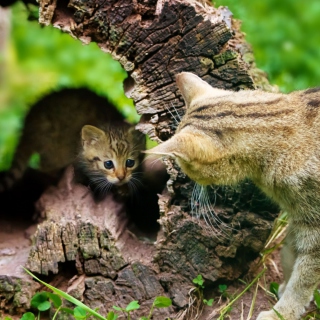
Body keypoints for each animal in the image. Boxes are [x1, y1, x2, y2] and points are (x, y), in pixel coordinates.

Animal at [146, 72, 320, 320]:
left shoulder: (313, 229)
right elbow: (289, 254)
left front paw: (282, 313)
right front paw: (284, 290)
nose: (183, 177)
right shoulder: (300, 218)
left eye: (186, 164)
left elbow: (303, 278)